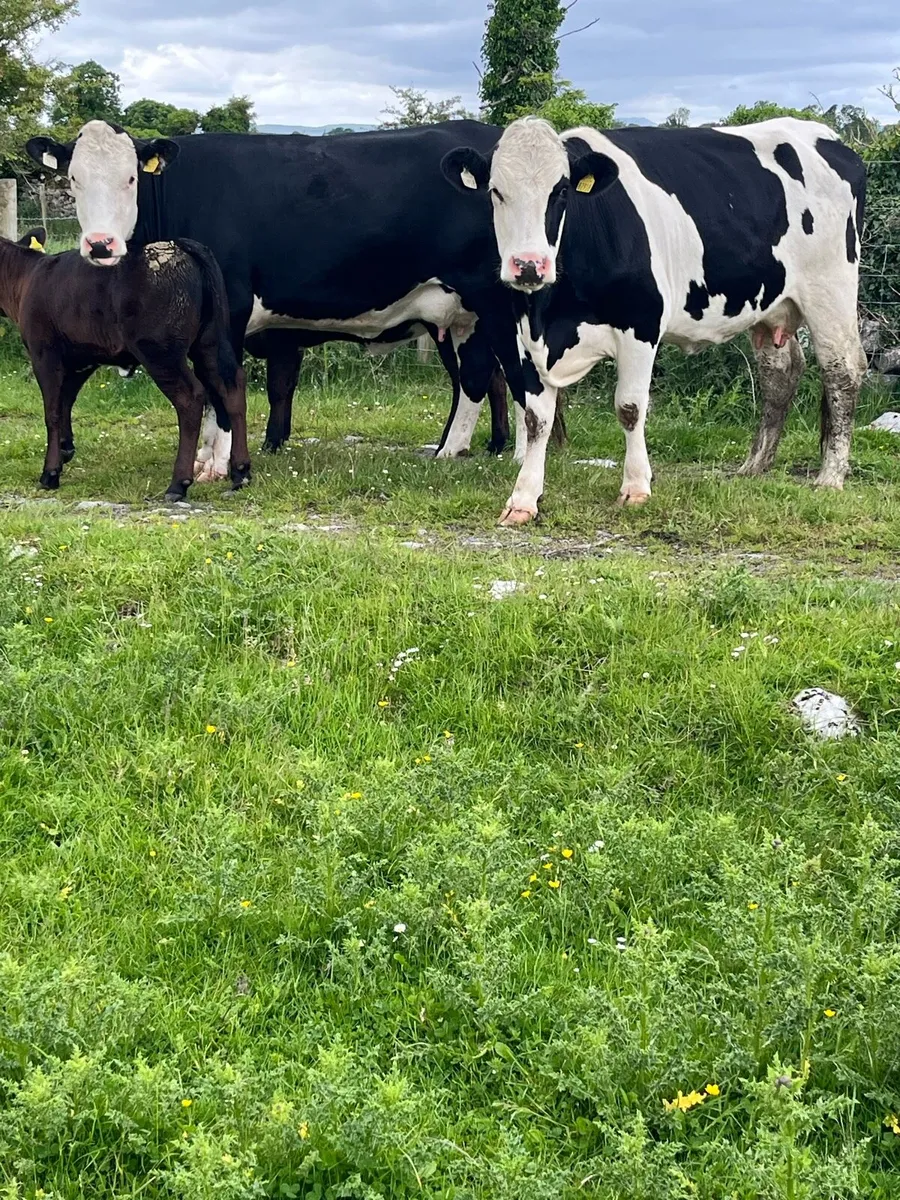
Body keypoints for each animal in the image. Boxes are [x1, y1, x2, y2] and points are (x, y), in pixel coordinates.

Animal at [0, 226, 250, 499]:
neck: (26, 277)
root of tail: (178, 244)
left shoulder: (45, 354)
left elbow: (52, 411)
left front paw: (50, 472)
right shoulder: (81, 358)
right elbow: (66, 401)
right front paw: (66, 449)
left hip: (160, 352)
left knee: (191, 398)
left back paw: (178, 484)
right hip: (209, 343)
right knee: (232, 387)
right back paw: (241, 472)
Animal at [26, 120, 550, 472]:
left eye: (130, 178)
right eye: (74, 179)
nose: (100, 244)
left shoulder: (231, 307)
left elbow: (223, 382)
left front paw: (219, 464)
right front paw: (207, 457)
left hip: (498, 302)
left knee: (510, 379)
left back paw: (505, 457)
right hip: (456, 316)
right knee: (475, 378)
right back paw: (450, 450)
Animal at [442, 116, 867, 524]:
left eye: (560, 191)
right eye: (496, 192)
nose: (529, 265)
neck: (554, 314)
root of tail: (830, 138)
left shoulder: (641, 323)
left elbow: (630, 408)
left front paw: (635, 488)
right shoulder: (526, 336)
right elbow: (536, 419)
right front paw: (524, 499)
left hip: (831, 288)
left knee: (842, 370)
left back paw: (831, 475)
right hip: (773, 305)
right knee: (780, 373)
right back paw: (754, 466)